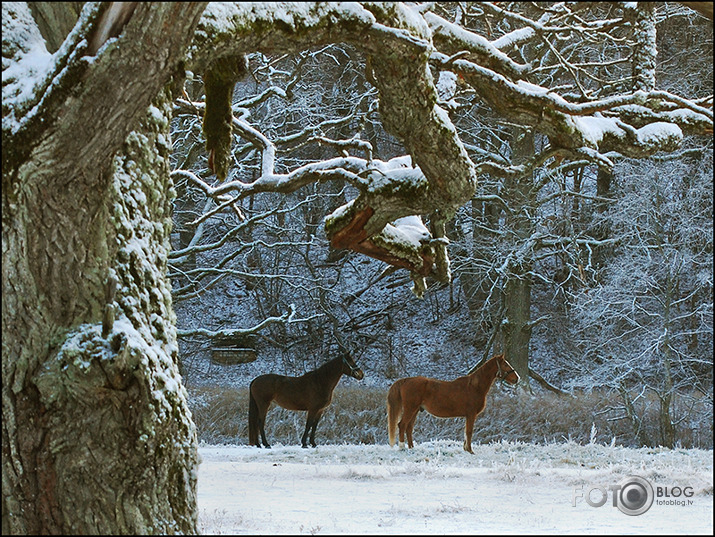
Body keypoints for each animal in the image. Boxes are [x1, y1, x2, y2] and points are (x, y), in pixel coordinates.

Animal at [388, 354, 516, 454]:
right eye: (505, 365)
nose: (517, 378)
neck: (474, 387)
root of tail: (406, 380)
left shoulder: (468, 416)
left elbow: (466, 432)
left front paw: (466, 449)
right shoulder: (471, 414)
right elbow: (469, 432)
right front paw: (470, 450)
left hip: (415, 410)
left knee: (409, 428)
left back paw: (411, 448)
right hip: (410, 409)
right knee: (402, 425)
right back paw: (402, 448)